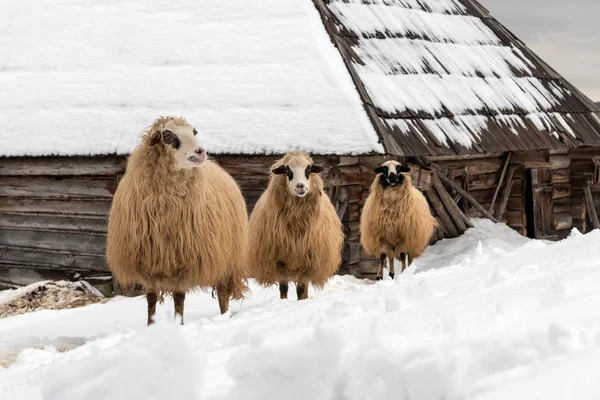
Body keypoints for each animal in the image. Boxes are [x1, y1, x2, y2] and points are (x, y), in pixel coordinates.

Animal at [106, 115, 248, 324]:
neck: (167, 203)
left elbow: (179, 298)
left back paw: (224, 317)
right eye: (167, 135)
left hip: (228, 260)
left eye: (194, 132)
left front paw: (178, 325)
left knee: (223, 294)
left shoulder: (185, 260)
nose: (200, 152)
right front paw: (151, 326)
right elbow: (151, 299)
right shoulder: (148, 261)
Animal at [247, 151, 342, 300]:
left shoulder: (308, 259)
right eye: (287, 171)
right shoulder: (280, 259)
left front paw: (301, 301)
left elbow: (301, 289)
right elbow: (283, 287)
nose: (300, 186)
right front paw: (283, 301)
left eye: (309, 169)